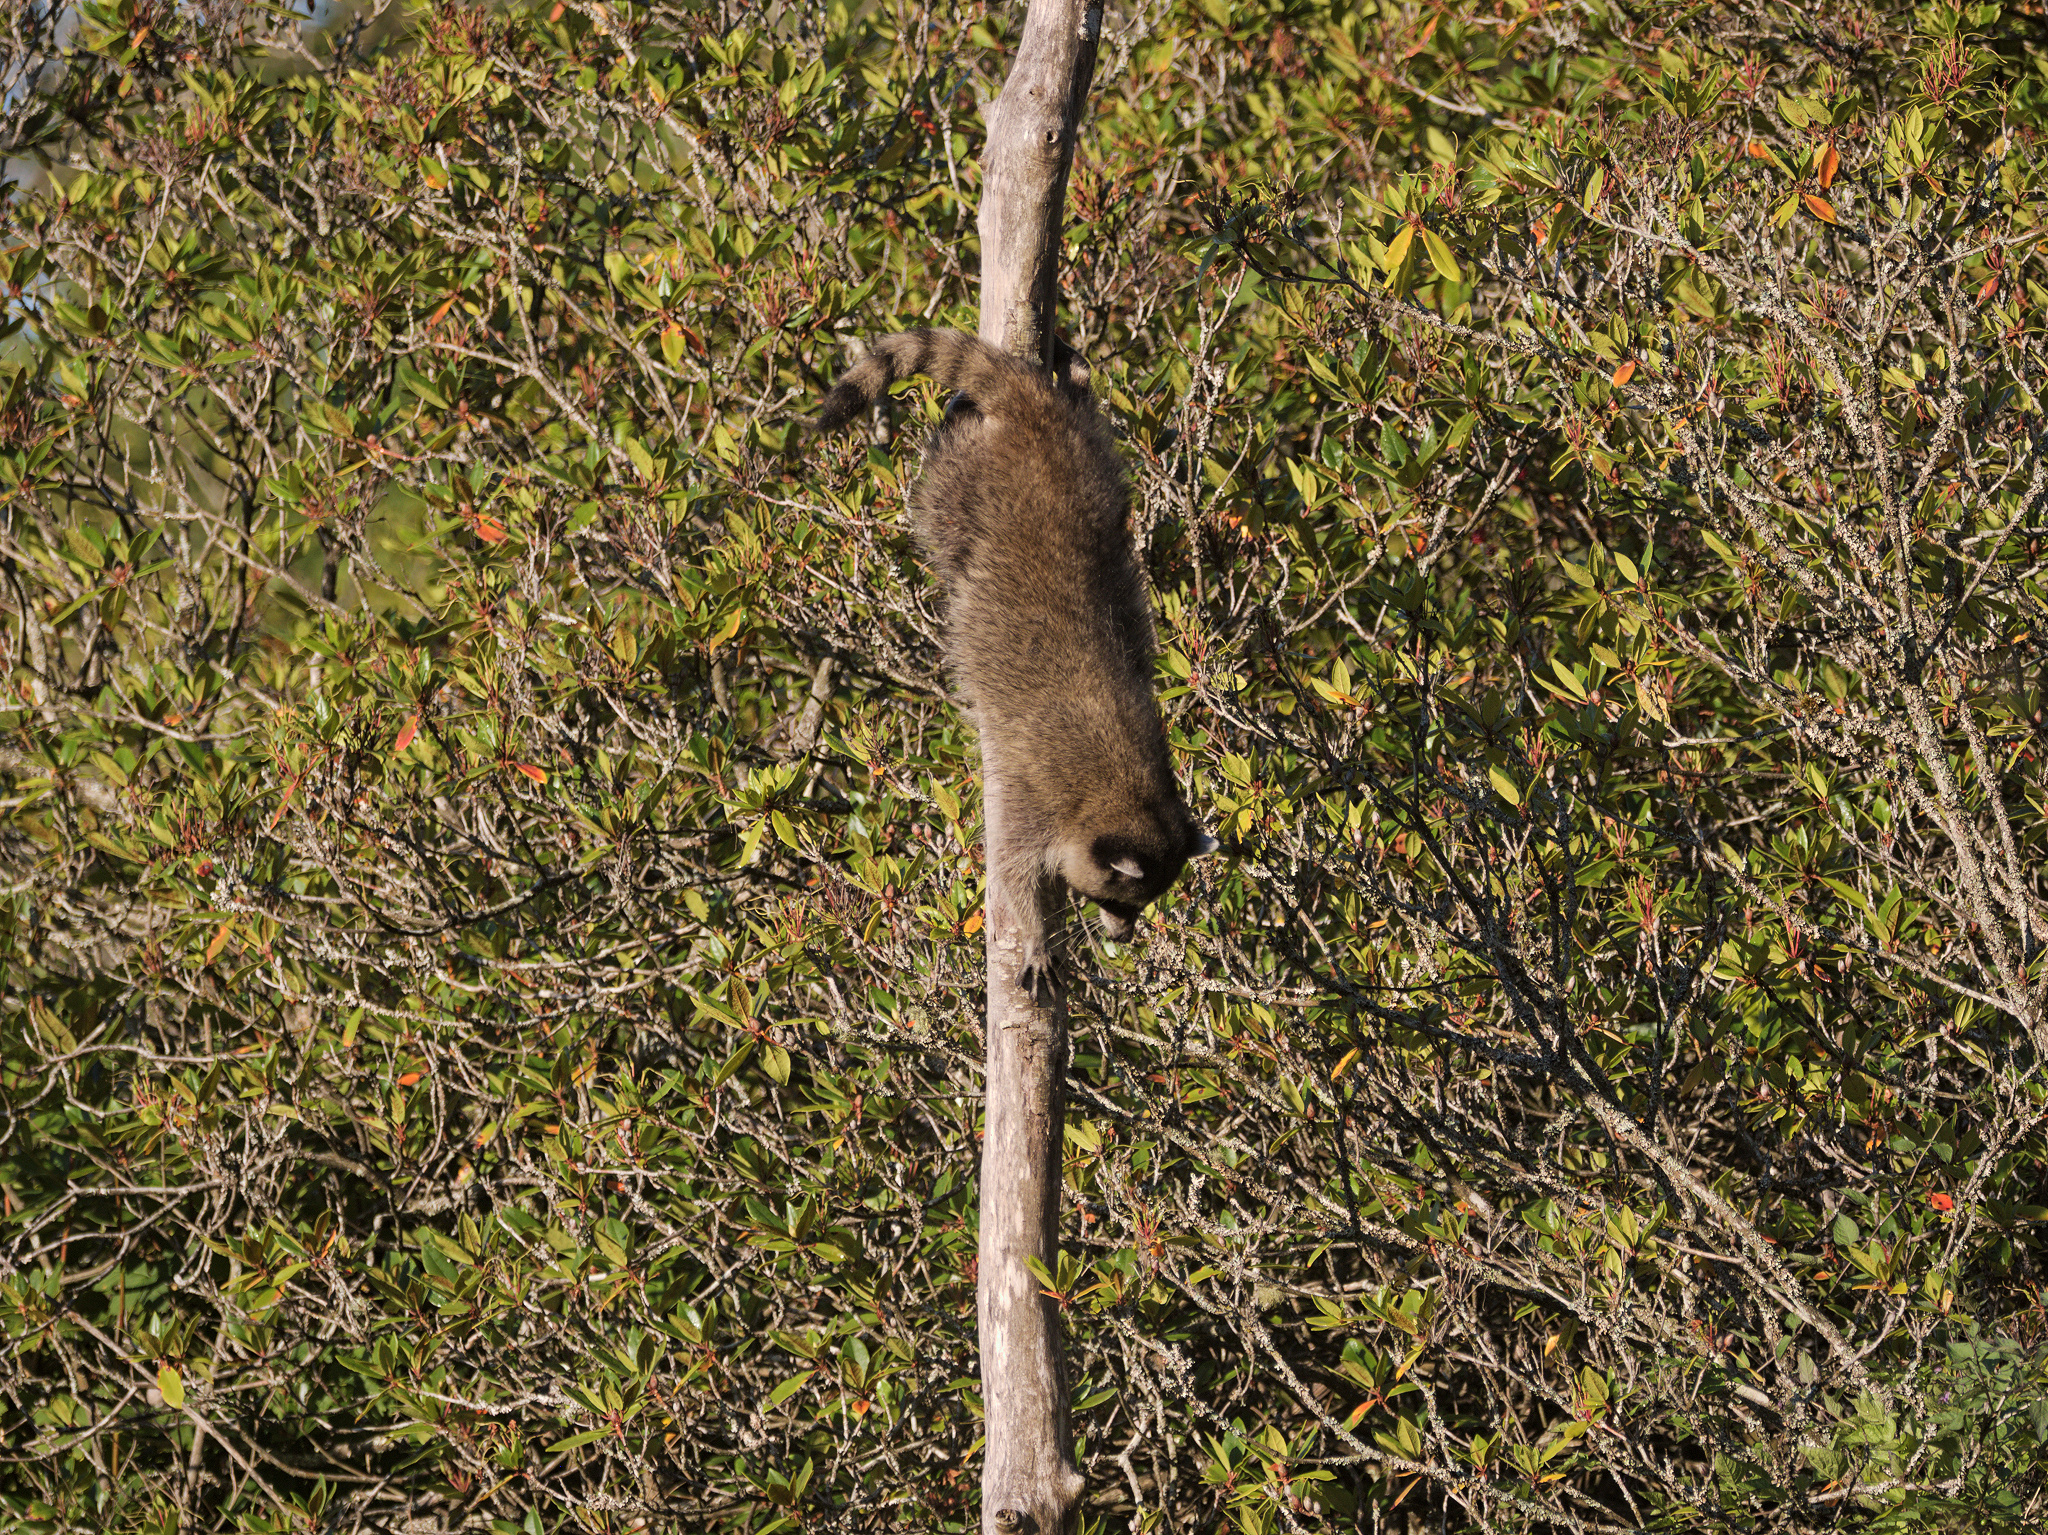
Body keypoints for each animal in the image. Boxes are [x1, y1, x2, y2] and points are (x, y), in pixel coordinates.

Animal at [816, 327, 1215, 954]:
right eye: (1115, 900)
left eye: (1145, 904)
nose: (1122, 936)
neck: (1125, 787)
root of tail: (1037, 417)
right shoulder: (1037, 793)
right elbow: (1011, 865)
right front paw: (1031, 935)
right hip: (969, 481)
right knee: (941, 497)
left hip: (1094, 457)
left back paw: (1075, 378)